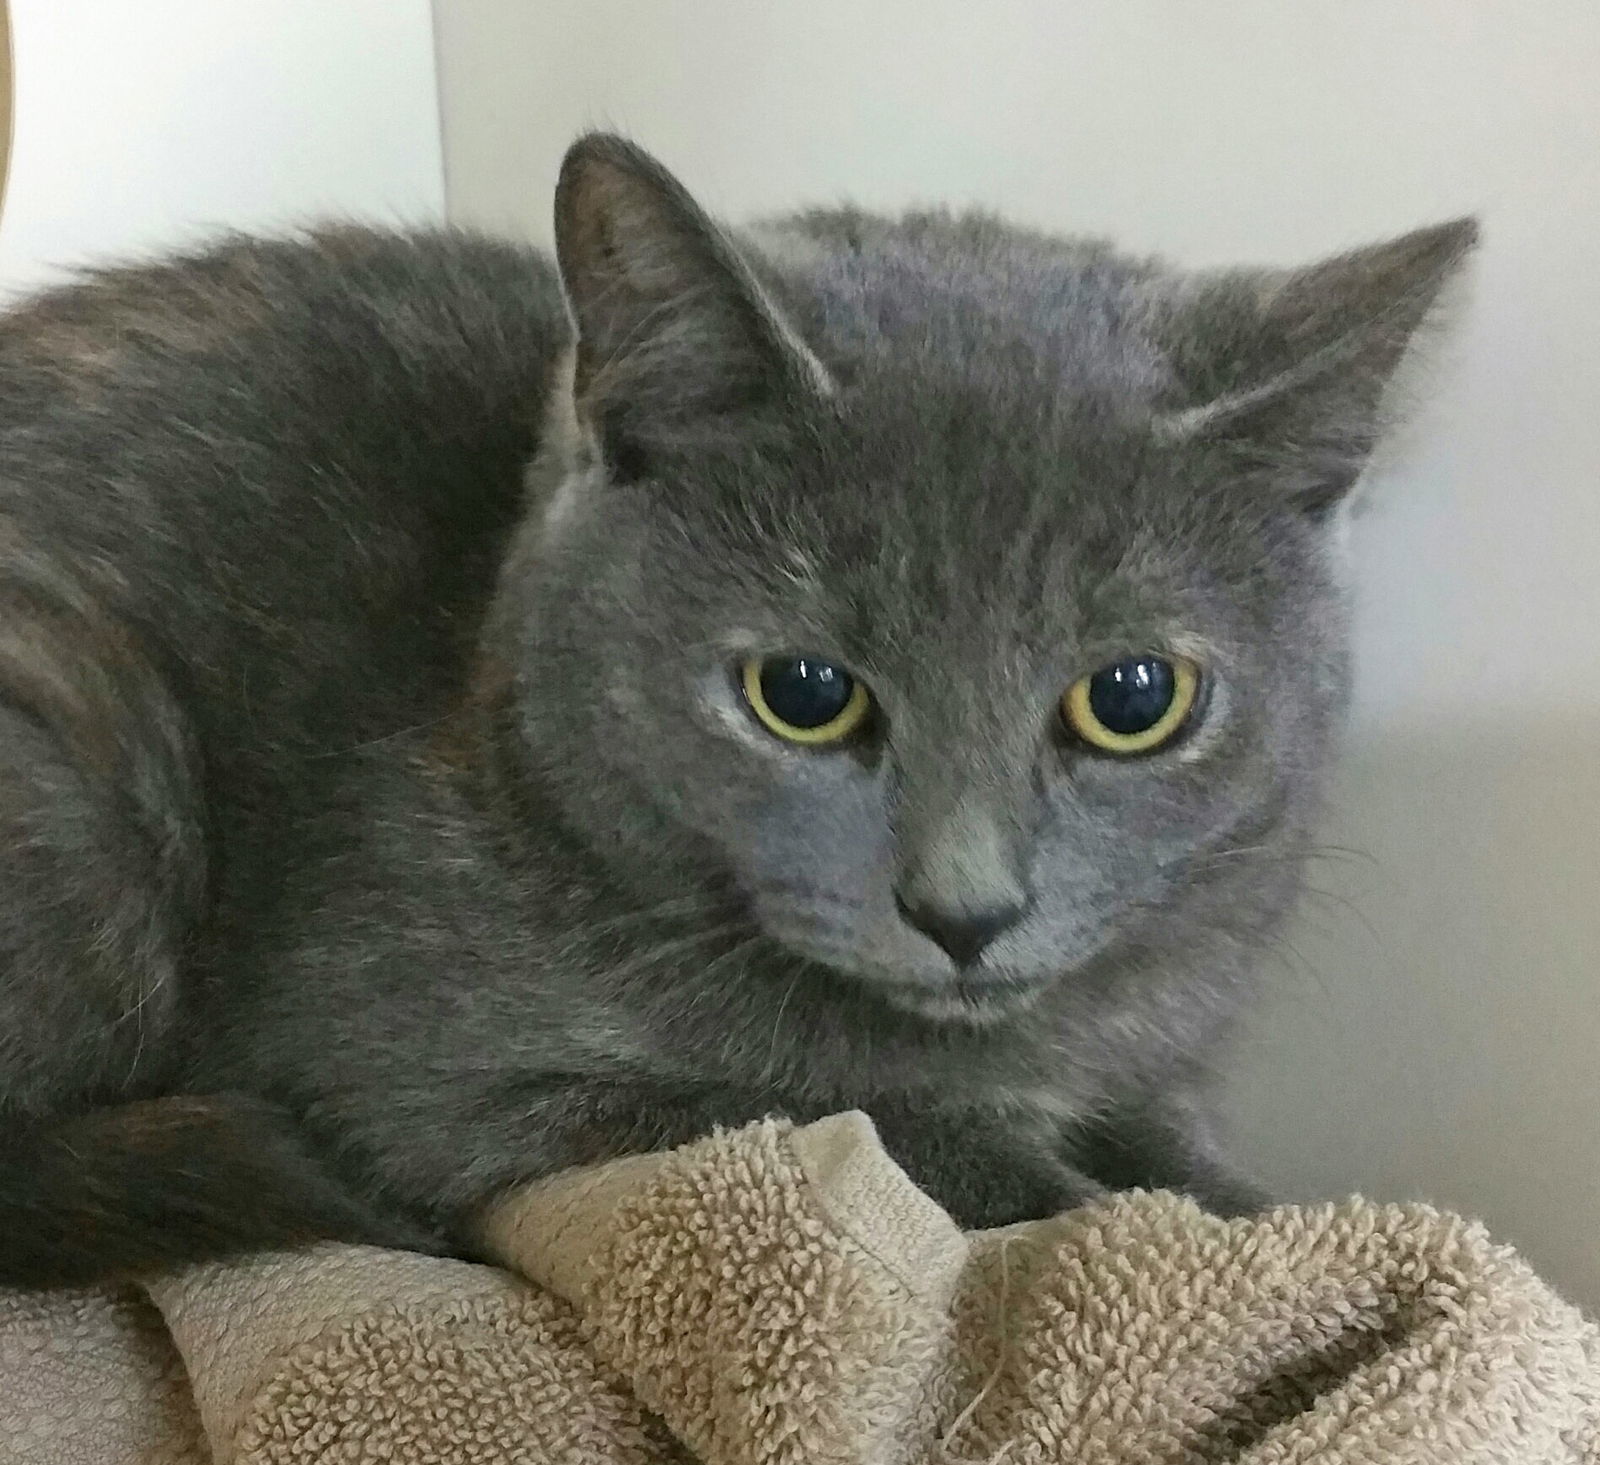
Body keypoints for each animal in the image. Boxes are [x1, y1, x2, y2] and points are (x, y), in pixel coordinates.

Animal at [0, 134, 1472, 1279]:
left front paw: (1264, 1212)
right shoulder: (415, 1069)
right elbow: (863, 1124)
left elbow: (1184, 1150)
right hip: (92, 750)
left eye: (1132, 697)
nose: (966, 911)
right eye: (804, 694)